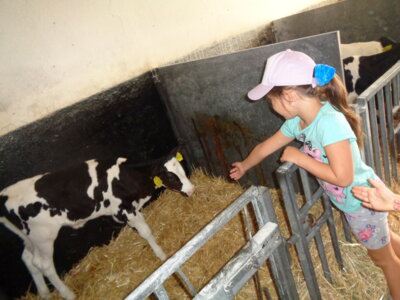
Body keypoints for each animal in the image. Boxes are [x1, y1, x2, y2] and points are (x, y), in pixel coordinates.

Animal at [0, 149, 194, 300]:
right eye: (170, 176)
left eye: (182, 170)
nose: (192, 189)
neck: (125, 176)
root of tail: (5, 196)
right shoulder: (123, 209)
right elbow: (146, 232)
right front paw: (162, 257)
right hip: (43, 236)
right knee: (44, 265)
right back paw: (68, 294)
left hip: (29, 237)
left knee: (28, 259)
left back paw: (44, 293)